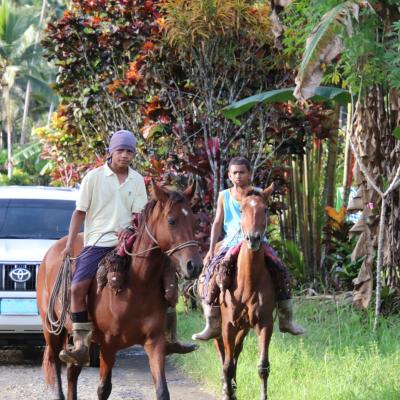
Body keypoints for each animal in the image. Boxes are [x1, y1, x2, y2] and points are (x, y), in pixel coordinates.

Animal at [36, 183, 203, 398]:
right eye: (171, 221)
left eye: (194, 222)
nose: (194, 266)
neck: (138, 285)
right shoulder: (109, 344)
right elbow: (103, 389)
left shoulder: (155, 342)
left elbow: (162, 390)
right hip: (51, 329)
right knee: (56, 365)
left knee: (73, 368)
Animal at [216, 190, 276, 400]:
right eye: (241, 210)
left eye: (265, 209)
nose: (253, 239)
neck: (248, 281)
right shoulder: (227, 324)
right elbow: (226, 364)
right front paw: (227, 392)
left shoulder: (265, 323)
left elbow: (263, 367)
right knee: (222, 351)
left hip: (244, 326)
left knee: (236, 351)